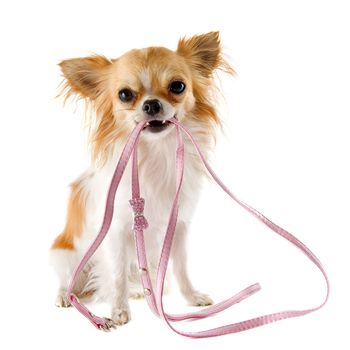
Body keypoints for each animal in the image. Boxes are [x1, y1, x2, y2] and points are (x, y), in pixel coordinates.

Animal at [49, 31, 234, 326]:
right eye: (125, 95)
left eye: (178, 86)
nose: (151, 104)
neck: (156, 152)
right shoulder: (114, 232)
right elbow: (116, 276)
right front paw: (118, 310)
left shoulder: (178, 226)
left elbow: (181, 268)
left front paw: (191, 297)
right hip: (66, 254)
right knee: (69, 279)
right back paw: (66, 296)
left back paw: (138, 290)